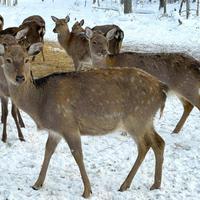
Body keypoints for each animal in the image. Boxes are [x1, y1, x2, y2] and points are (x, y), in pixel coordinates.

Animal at [0, 36, 166, 198]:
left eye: (26, 59)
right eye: (8, 59)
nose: (20, 77)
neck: (40, 104)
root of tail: (161, 88)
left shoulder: (68, 124)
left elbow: (77, 155)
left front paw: (87, 191)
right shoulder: (55, 130)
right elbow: (48, 151)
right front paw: (37, 184)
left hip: (136, 119)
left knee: (144, 146)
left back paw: (125, 185)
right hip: (146, 120)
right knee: (159, 142)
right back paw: (155, 185)